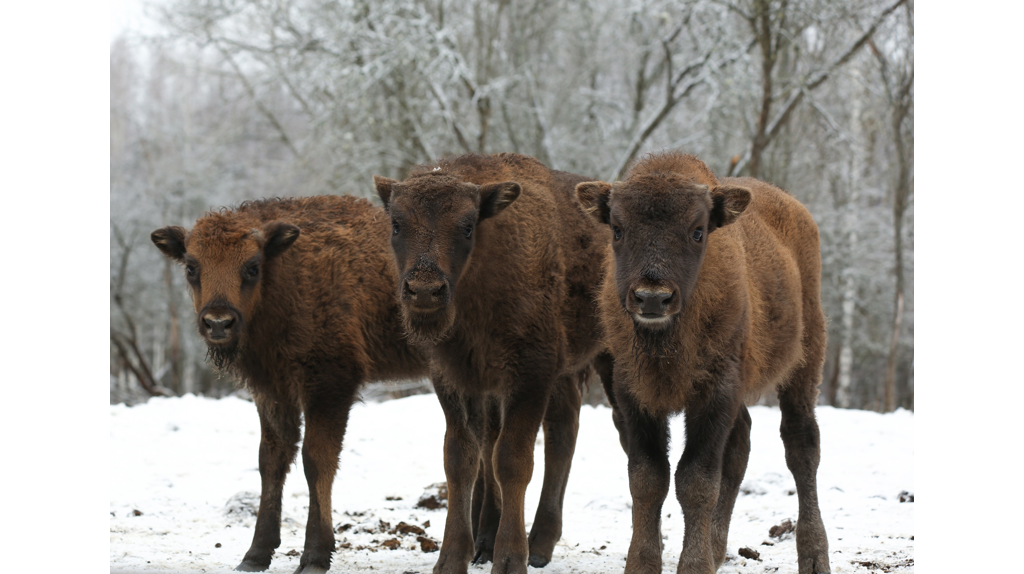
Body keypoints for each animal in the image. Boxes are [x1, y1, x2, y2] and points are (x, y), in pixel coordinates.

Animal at [149, 195, 425, 572]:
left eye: (252, 266)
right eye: (192, 266)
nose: (218, 323)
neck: (286, 273)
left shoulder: (330, 385)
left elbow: (316, 460)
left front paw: (315, 556)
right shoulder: (272, 390)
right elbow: (271, 459)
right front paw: (255, 554)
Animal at [376, 152, 610, 572]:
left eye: (467, 226)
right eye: (397, 223)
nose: (424, 290)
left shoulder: (530, 374)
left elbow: (512, 460)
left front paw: (510, 558)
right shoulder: (456, 378)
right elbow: (461, 458)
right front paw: (452, 557)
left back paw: (537, 545)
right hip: (557, 377)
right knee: (561, 431)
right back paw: (523, 540)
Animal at [577, 152, 831, 572]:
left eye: (698, 231)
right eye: (617, 228)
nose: (652, 297)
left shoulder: (714, 393)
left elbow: (695, 481)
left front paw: (694, 564)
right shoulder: (633, 393)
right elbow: (647, 479)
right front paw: (643, 563)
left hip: (805, 362)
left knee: (802, 445)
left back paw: (813, 556)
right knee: (741, 443)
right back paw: (718, 547)